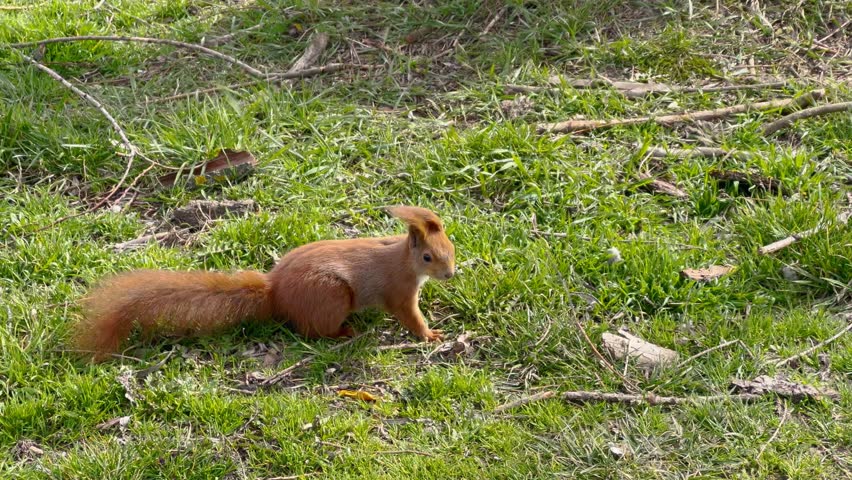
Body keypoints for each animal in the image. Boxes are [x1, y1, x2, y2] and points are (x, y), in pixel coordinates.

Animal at [73, 206, 455, 362]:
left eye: (451, 247)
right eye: (427, 257)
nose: (450, 274)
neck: (403, 259)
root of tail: (276, 294)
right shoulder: (400, 292)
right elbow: (410, 317)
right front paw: (431, 335)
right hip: (331, 296)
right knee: (311, 330)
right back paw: (343, 333)